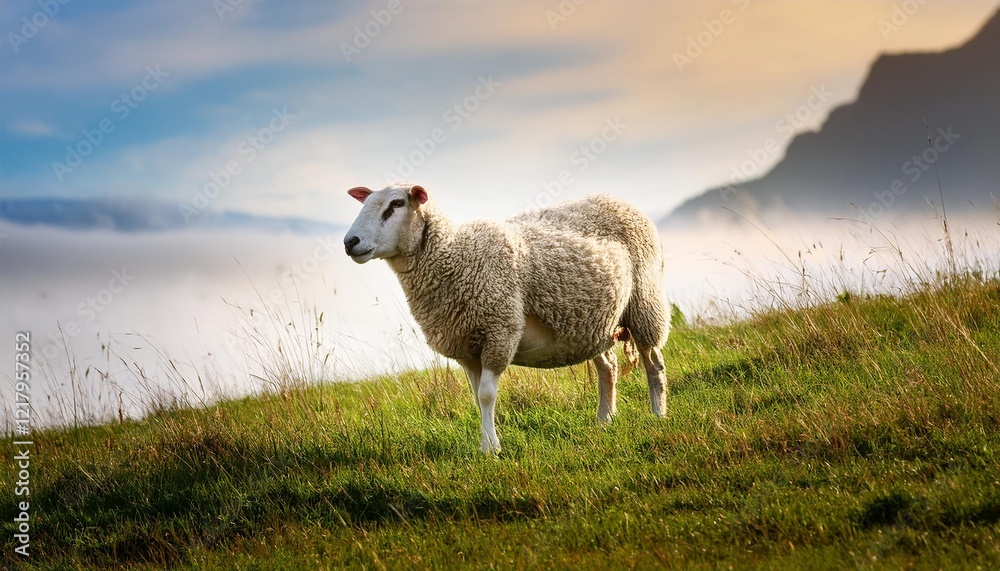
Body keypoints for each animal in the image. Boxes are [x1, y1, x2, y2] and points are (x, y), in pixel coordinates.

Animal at [343, 184, 670, 453]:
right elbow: (477, 399)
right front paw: (485, 444)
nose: (350, 242)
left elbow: (487, 396)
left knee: (654, 363)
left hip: (644, 302)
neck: (454, 255)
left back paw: (658, 415)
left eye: (396, 204)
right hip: (591, 325)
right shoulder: (466, 349)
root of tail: (616, 199)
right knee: (609, 368)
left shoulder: (500, 331)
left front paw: (492, 449)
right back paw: (604, 420)